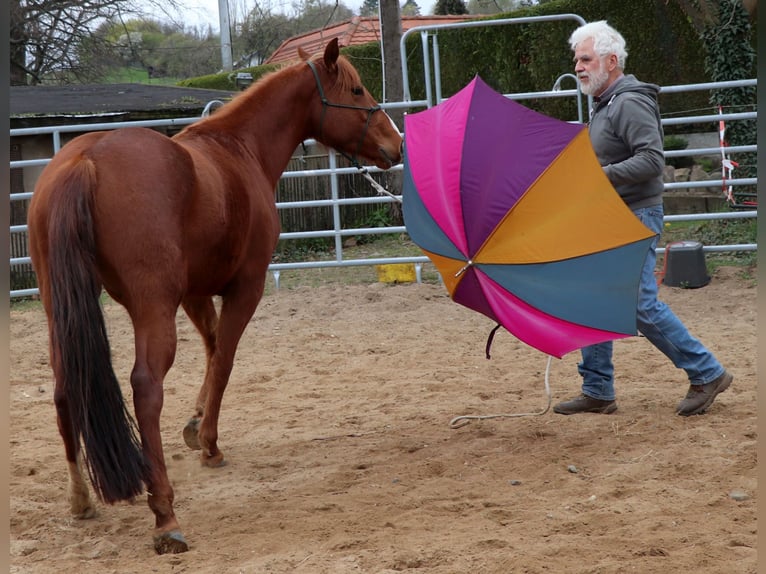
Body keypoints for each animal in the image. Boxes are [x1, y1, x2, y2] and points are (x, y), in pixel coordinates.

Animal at [26, 38, 402, 554]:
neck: (239, 150)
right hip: (152, 309)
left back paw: (80, 498)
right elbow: (224, 357)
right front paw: (209, 443)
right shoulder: (245, 287)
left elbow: (209, 347)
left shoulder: (197, 293)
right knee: (146, 388)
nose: (395, 143)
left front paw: (195, 422)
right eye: (357, 89)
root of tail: (87, 160)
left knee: (65, 388)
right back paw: (165, 515)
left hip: (58, 308)